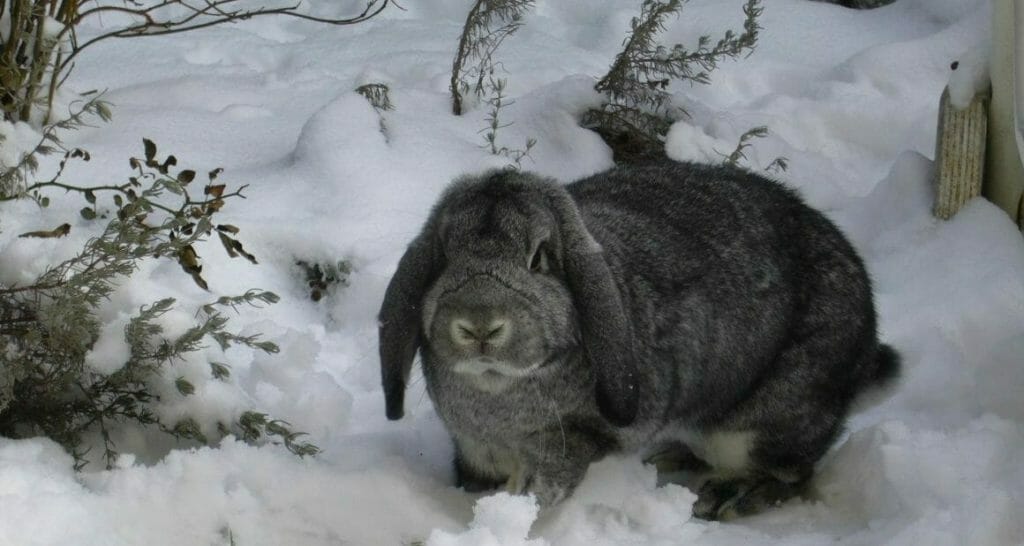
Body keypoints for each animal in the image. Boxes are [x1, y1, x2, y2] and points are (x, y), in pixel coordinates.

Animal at [376, 158, 897, 520]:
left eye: (539, 258)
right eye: (444, 258)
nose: (479, 325)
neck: (495, 390)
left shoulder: (576, 437)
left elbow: (553, 472)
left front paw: (520, 507)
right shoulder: (474, 445)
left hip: (763, 420)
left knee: (791, 474)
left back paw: (727, 498)